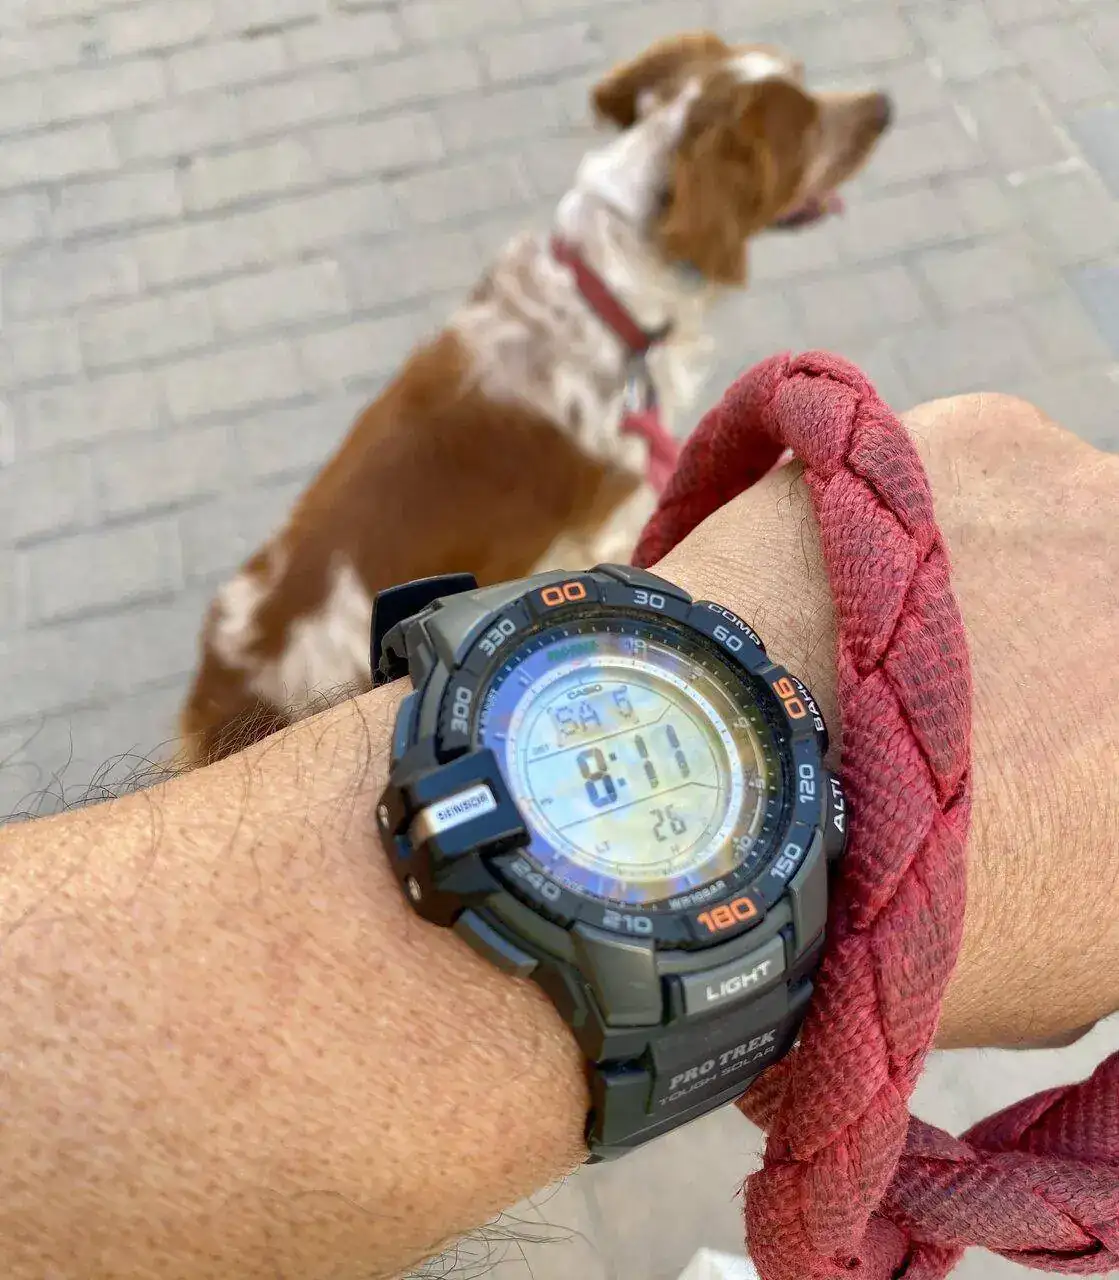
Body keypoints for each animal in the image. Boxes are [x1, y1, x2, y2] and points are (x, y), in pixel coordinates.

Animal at [180, 31, 892, 766]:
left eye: (802, 75)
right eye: (805, 132)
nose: (886, 106)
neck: (608, 291)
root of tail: (221, 686)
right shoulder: (611, 514)